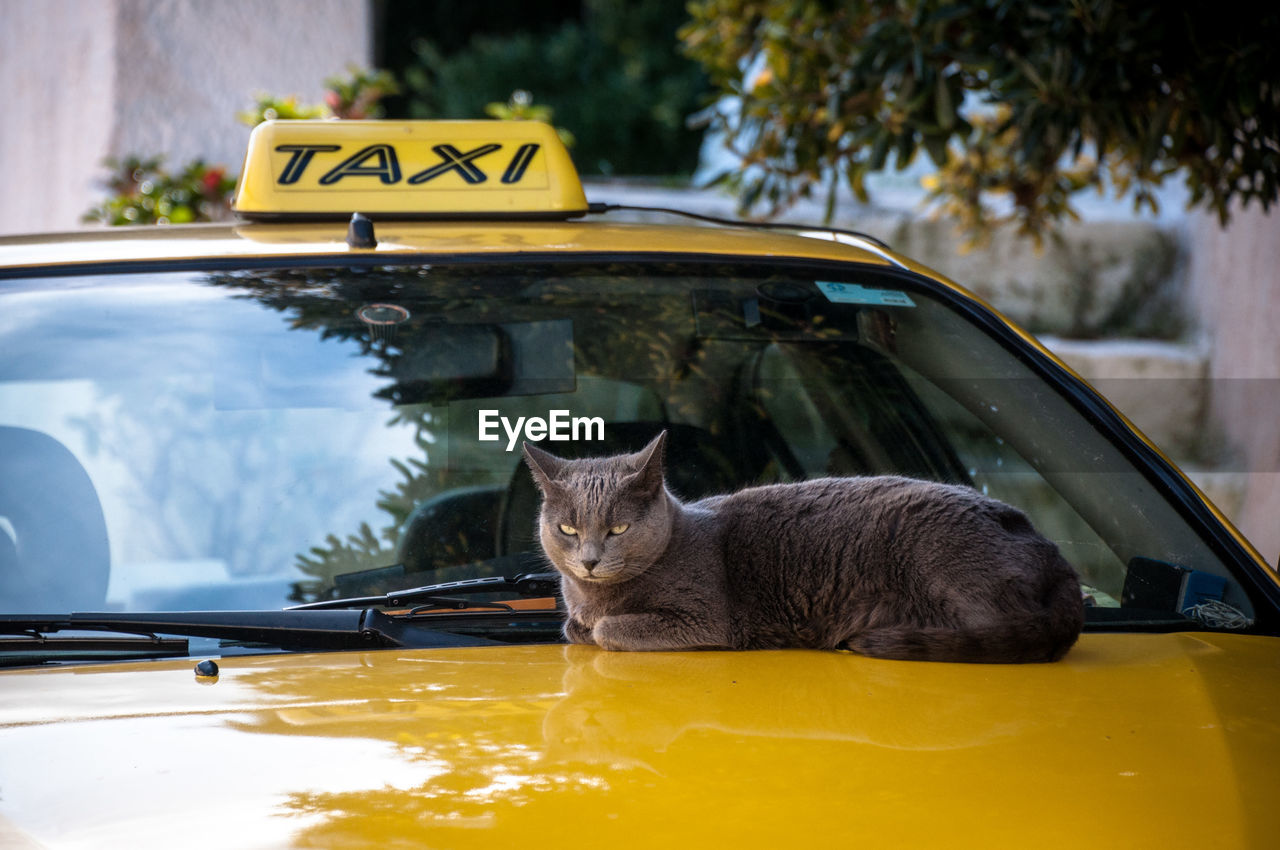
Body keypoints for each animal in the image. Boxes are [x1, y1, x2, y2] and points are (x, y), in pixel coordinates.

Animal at [524, 432, 1085, 665]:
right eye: (568, 529)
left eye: (618, 529)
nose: (589, 559)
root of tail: (1056, 555)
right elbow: (574, 627)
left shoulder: (703, 617)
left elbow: (606, 630)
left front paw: (600, 625)